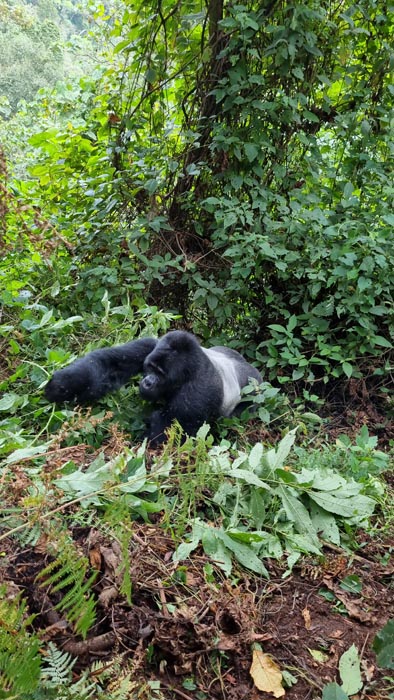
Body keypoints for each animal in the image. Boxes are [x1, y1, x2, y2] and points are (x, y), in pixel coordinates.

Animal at [45, 330, 262, 448]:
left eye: (161, 374)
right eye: (151, 367)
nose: (148, 382)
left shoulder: (198, 393)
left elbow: (162, 438)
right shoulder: (151, 345)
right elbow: (109, 365)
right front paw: (62, 386)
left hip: (254, 393)